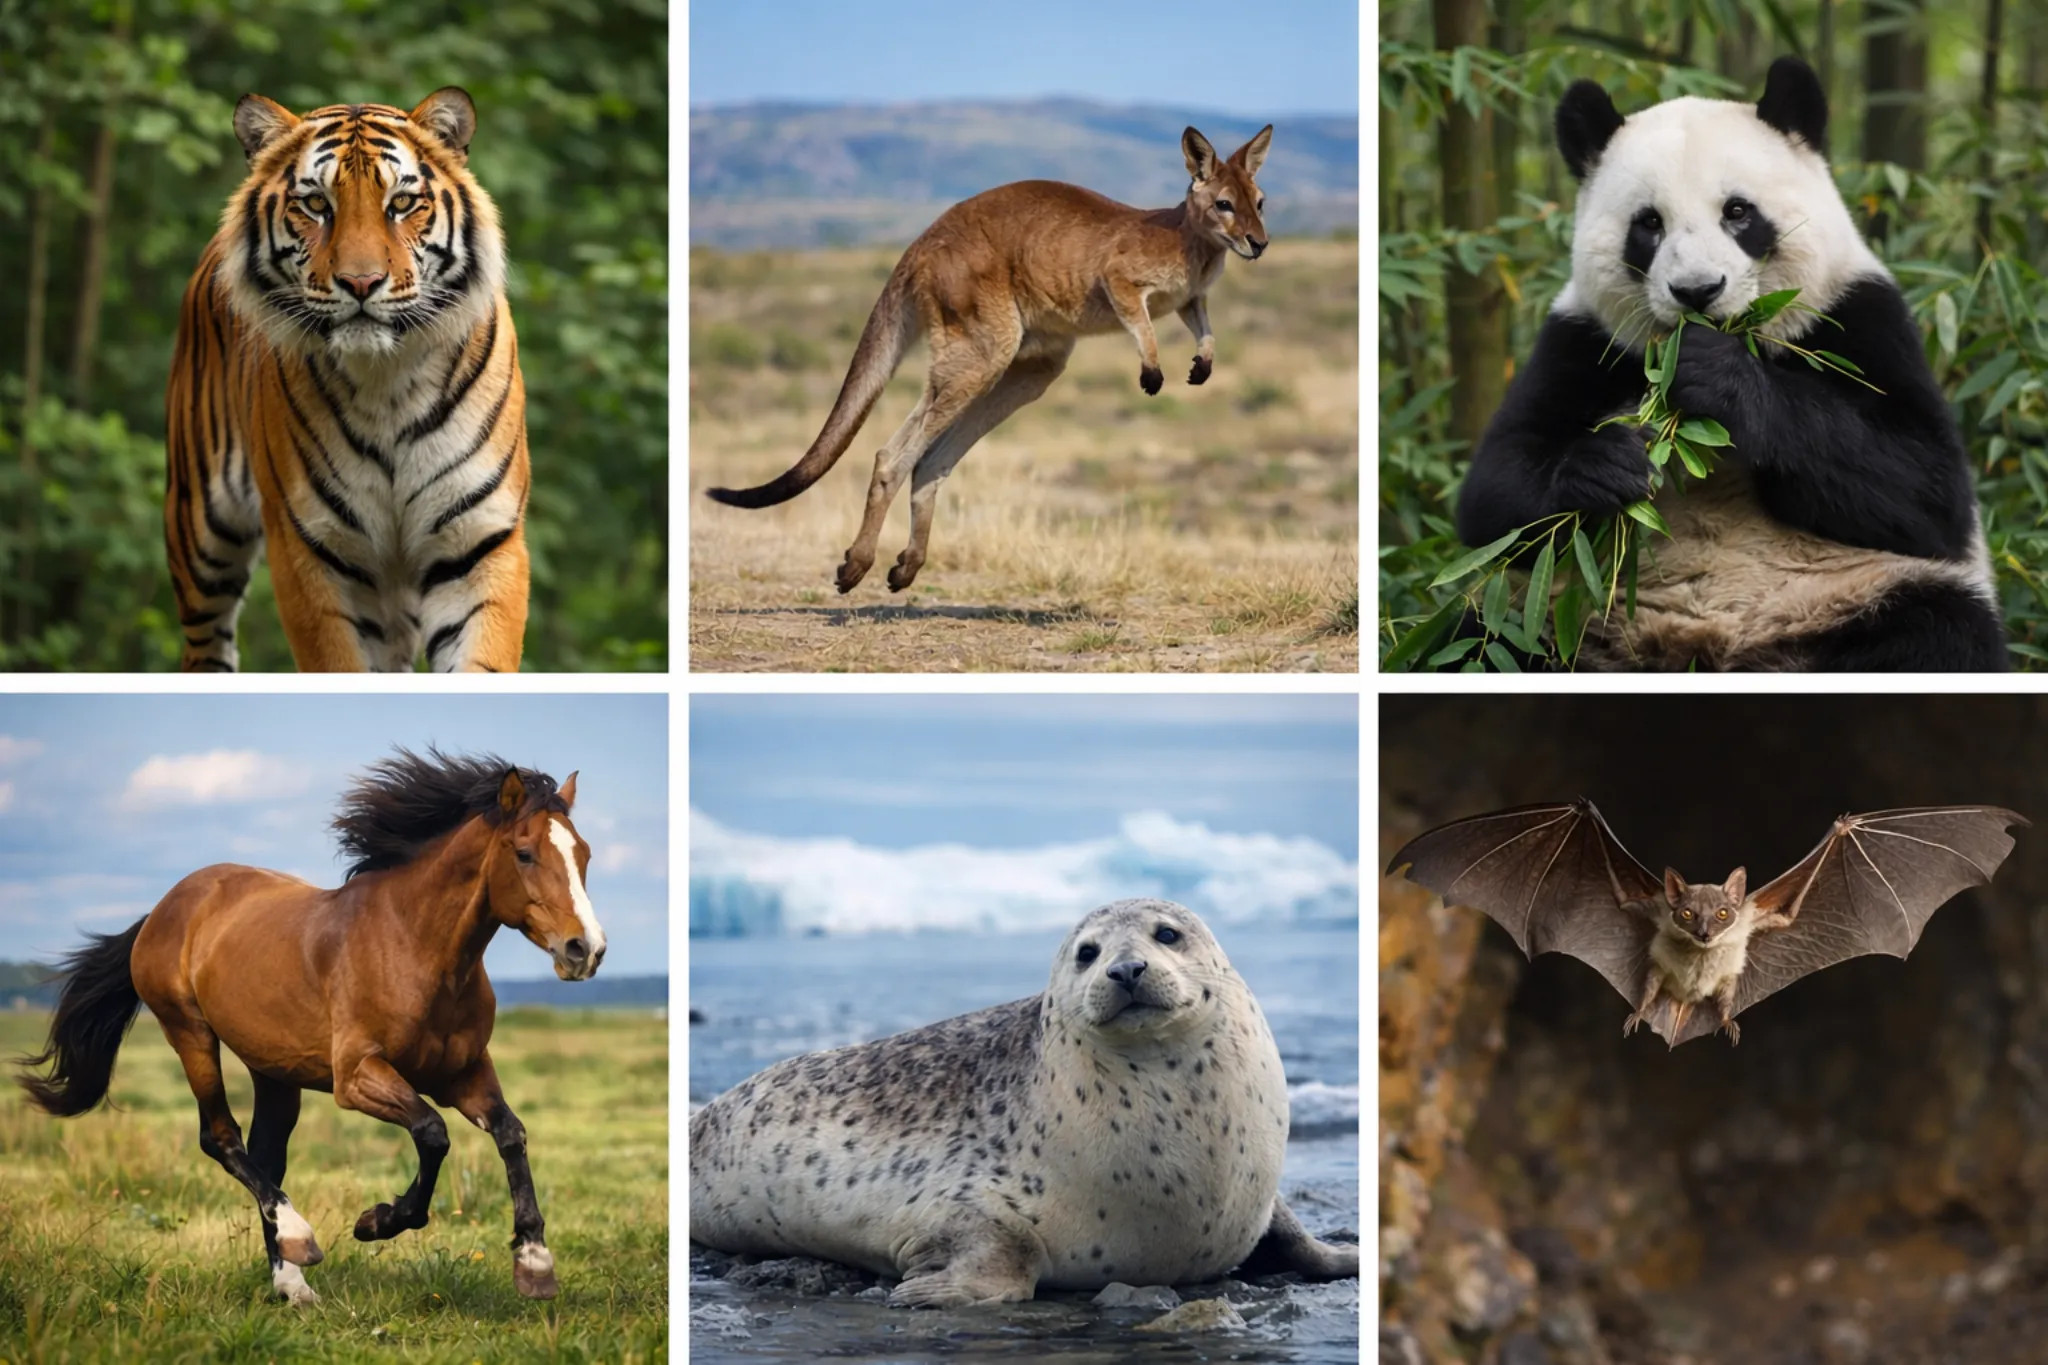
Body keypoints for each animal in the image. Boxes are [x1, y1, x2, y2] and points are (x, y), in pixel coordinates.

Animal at [16, 748, 607, 1305]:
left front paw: (534, 1263)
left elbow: (511, 1134)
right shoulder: (357, 1076)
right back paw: (300, 1239)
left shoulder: (463, 1073)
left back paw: (291, 1283)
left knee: (265, 1156)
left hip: (274, 1070)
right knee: (221, 1138)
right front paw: (375, 1222)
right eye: (525, 853)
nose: (586, 950)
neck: (415, 947)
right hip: (190, 1033)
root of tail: (164, 908)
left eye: (584, 854)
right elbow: (432, 1133)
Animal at [164, 88, 530, 672]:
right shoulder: (312, 551)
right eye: (316, 205)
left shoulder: (477, 542)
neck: (387, 380)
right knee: (206, 644)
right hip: (201, 530)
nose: (361, 282)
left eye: (401, 203)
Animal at [1456, 56, 2007, 671]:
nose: (1698, 291)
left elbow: (1926, 486)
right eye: (1649, 223)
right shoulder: (1585, 341)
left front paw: (1717, 377)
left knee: (1940, 630)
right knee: (1482, 638)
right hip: (1554, 621)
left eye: (1737, 212)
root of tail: (1705, 652)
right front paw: (1608, 463)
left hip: (1858, 595)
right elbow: (1496, 495)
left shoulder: (1858, 315)